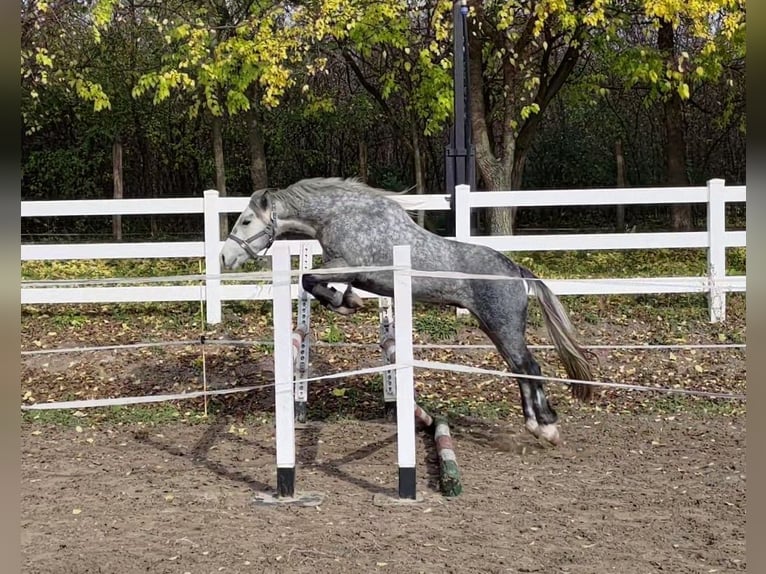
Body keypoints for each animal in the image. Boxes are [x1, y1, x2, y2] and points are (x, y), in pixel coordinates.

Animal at [219, 178, 596, 448]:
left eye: (246, 220)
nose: (225, 257)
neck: (339, 215)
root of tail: (516, 270)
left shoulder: (348, 265)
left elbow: (308, 278)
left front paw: (346, 304)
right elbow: (313, 282)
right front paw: (346, 301)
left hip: (503, 325)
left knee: (530, 367)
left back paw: (546, 428)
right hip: (494, 327)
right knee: (520, 369)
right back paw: (535, 424)